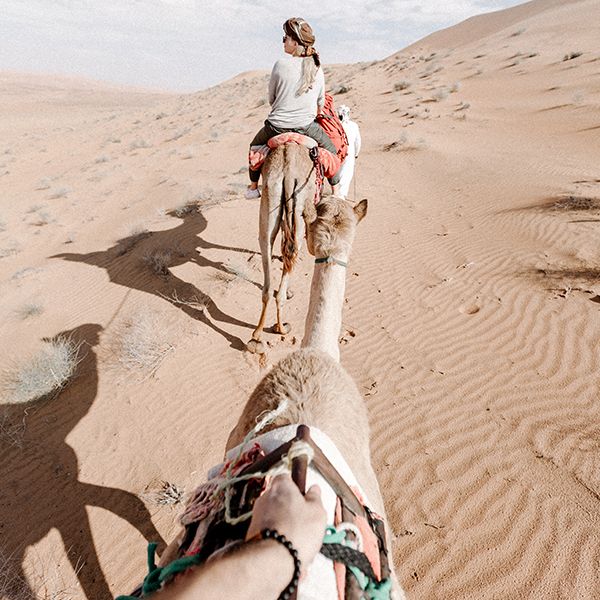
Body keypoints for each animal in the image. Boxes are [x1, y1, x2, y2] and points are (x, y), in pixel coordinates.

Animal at [247, 142, 318, 354]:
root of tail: (288, 171)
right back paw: (282, 327)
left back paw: (257, 335)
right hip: (300, 205)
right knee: (293, 252)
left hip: (270, 200)